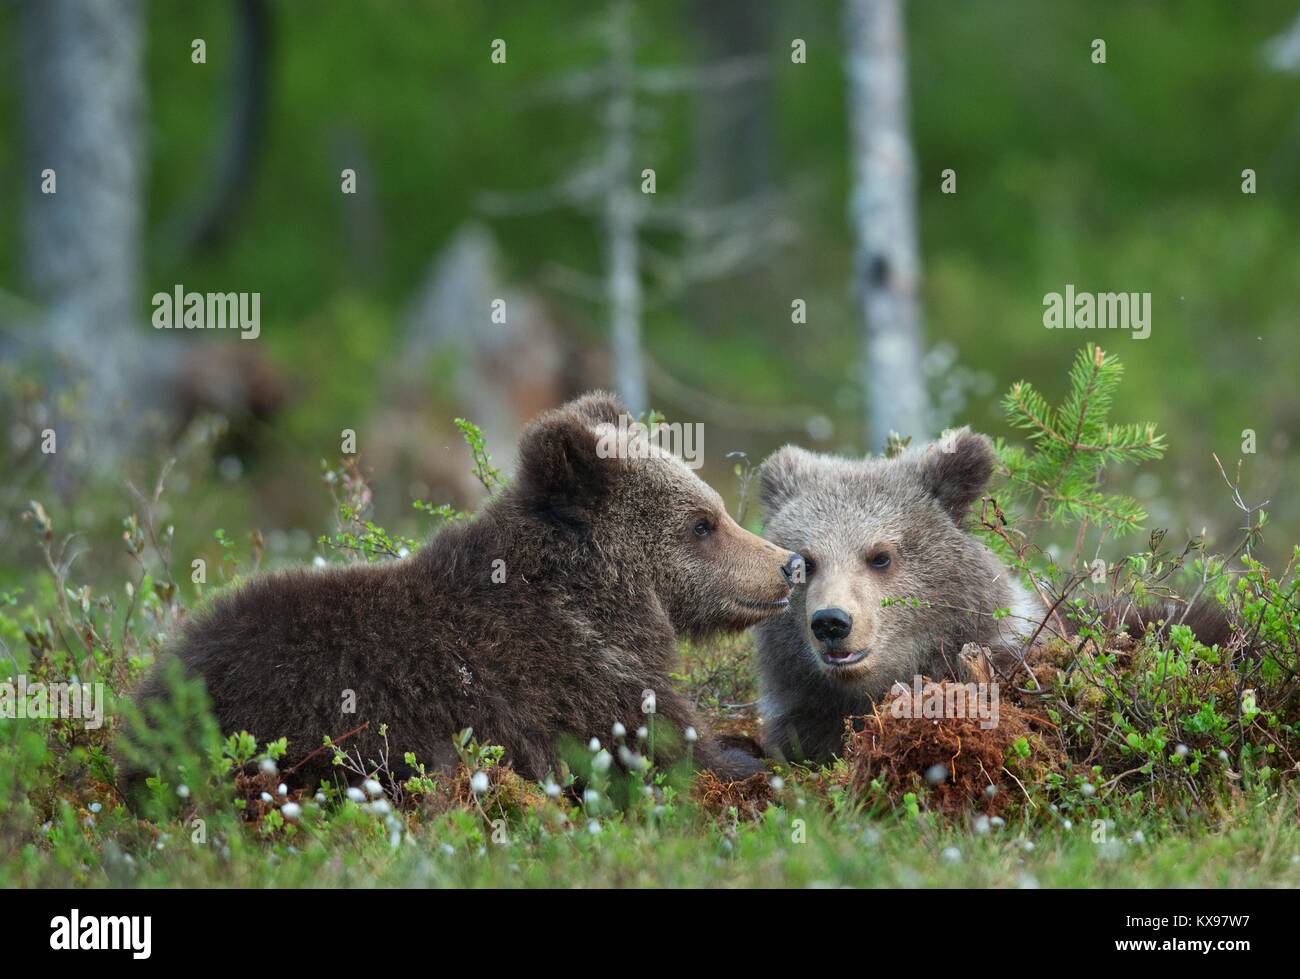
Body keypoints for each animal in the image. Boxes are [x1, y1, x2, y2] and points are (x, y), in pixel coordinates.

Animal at [125, 392, 801, 795]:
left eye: (715, 509)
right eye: (702, 523)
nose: (789, 565)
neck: (596, 606)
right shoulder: (575, 686)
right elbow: (670, 747)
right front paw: (751, 760)